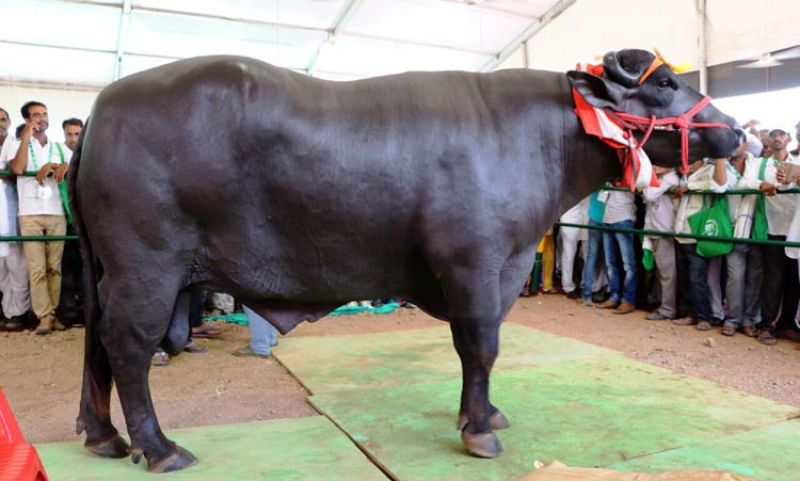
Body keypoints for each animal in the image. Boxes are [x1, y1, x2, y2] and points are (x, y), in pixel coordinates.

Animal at [69, 49, 743, 473]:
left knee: (97, 342)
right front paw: (477, 430)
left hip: (113, 272)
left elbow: (482, 349)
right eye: (663, 84)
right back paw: (158, 447)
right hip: (148, 266)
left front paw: (485, 413)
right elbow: (480, 346)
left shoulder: (501, 268)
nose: (736, 131)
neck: (534, 139)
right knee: (127, 344)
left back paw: (103, 436)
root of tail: (103, 109)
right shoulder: (474, 264)